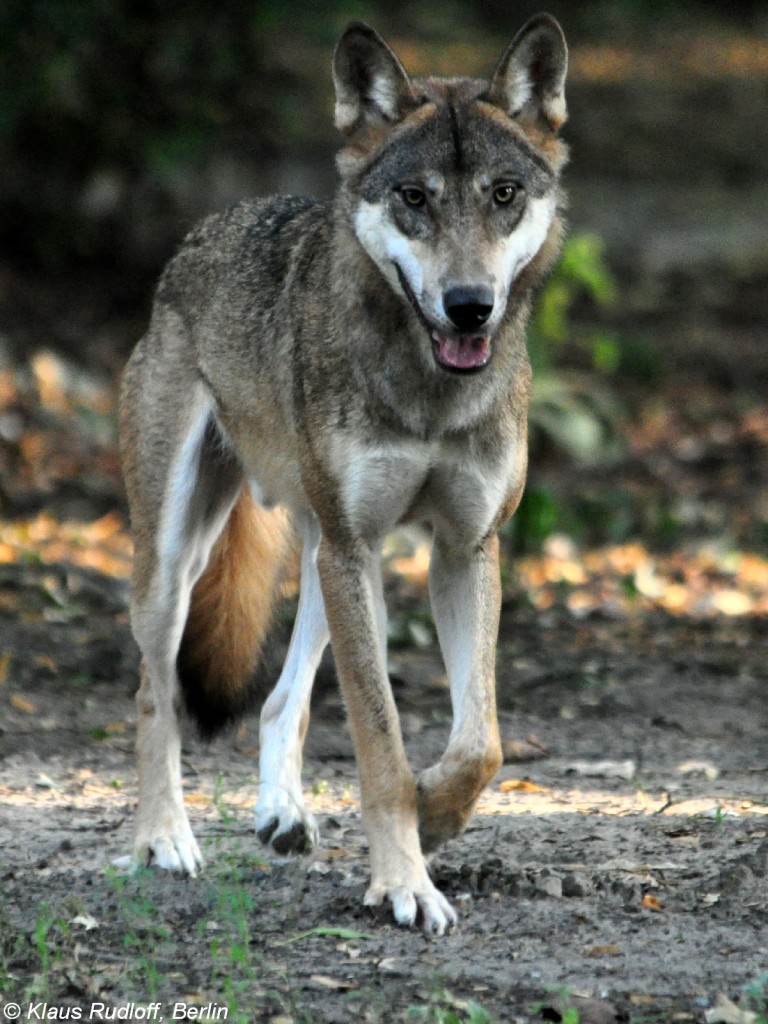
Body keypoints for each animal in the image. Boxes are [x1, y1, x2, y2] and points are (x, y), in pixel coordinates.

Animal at [118, 14, 565, 937]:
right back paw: (164, 839)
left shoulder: (465, 548)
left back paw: (282, 815)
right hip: (184, 562)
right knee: (154, 695)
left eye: (504, 194)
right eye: (415, 198)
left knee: (280, 701)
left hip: (328, 559)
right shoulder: (361, 549)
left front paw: (437, 819)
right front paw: (404, 881)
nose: (469, 306)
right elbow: (380, 745)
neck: (431, 395)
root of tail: (199, 237)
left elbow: (480, 743)